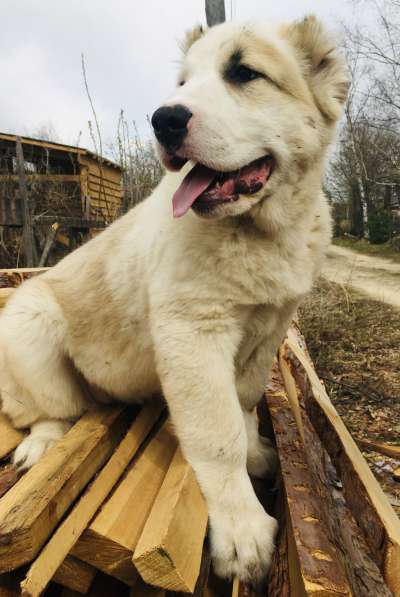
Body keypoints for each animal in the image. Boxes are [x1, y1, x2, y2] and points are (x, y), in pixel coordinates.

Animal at [0, 16, 346, 584]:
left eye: (244, 74)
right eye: (183, 84)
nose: (163, 119)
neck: (261, 232)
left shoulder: (267, 329)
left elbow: (243, 402)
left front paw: (256, 450)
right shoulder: (193, 331)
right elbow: (217, 433)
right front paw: (241, 529)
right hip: (31, 320)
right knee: (46, 409)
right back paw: (41, 444)